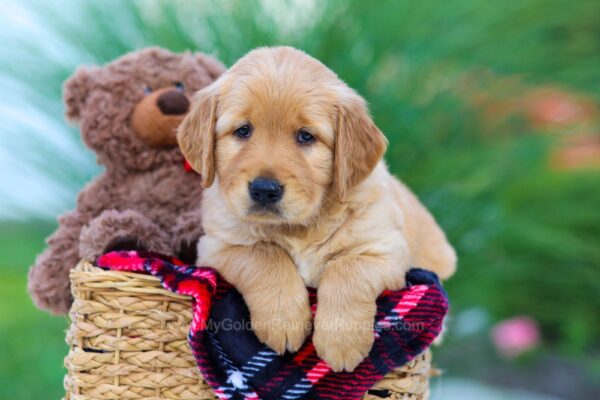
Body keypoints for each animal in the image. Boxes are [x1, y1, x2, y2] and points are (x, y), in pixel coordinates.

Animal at [176, 47, 458, 372]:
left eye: (306, 136)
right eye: (243, 130)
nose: (264, 189)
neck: (300, 225)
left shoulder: (386, 251)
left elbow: (347, 267)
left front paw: (341, 341)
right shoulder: (217, 246)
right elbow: (263, 254)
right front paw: (283, 319)